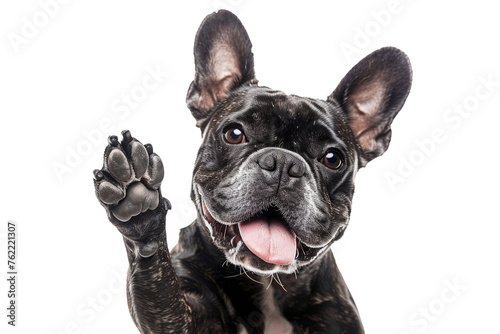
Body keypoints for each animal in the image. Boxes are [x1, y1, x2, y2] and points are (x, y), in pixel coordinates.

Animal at [93, 9, 410, 334]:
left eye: (333, 159)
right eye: (234, 134)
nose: (283, 163)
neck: (266, 281)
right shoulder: (187, 318)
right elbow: (163, 291)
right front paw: (140, 206)